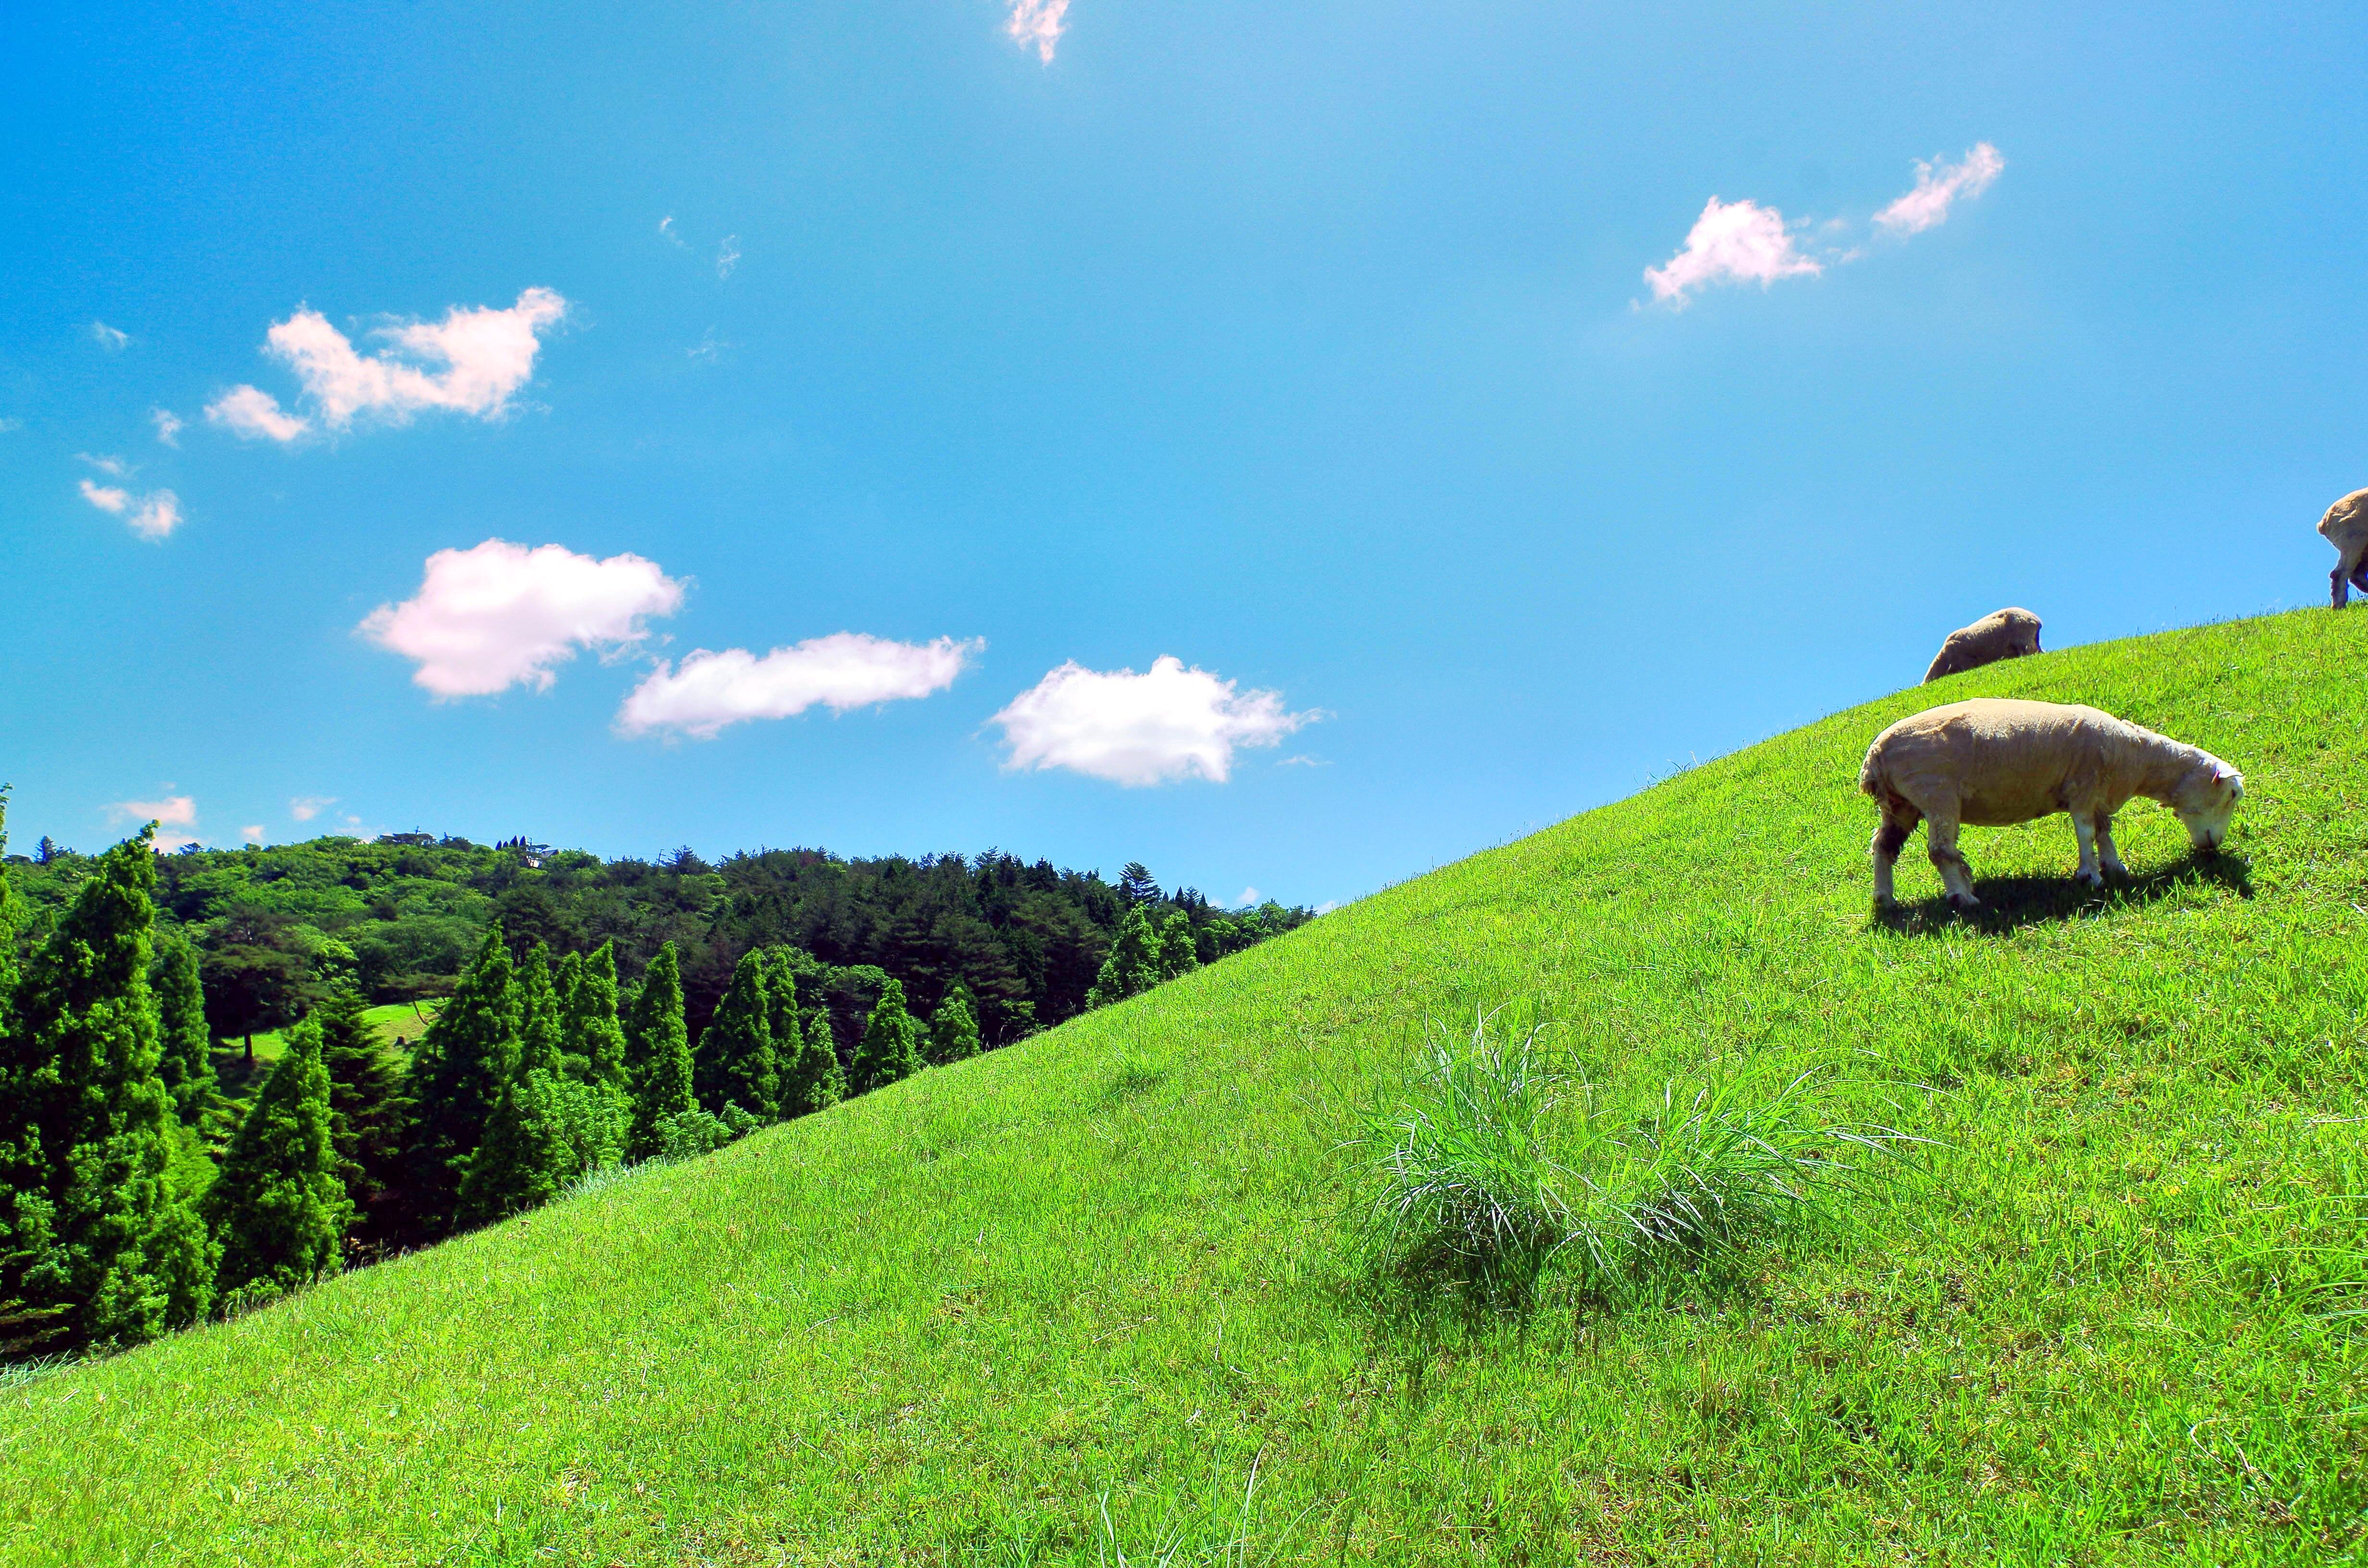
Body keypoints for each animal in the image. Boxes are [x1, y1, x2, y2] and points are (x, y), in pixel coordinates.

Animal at [1866, 696, 2235, 909]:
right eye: (2232, 796)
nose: (2213, 845)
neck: (2136, 757)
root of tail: (1876, 757)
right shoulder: (2083, 787)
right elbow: (2087, 833)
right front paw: (2090, 876)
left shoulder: (2098, 793)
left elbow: (2104, 831)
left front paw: (2115, 867)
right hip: (1937, 793)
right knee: (1941, 850)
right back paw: (1963, 897)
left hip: (1901, 804)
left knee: (1883, 847)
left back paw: (1885, 898)